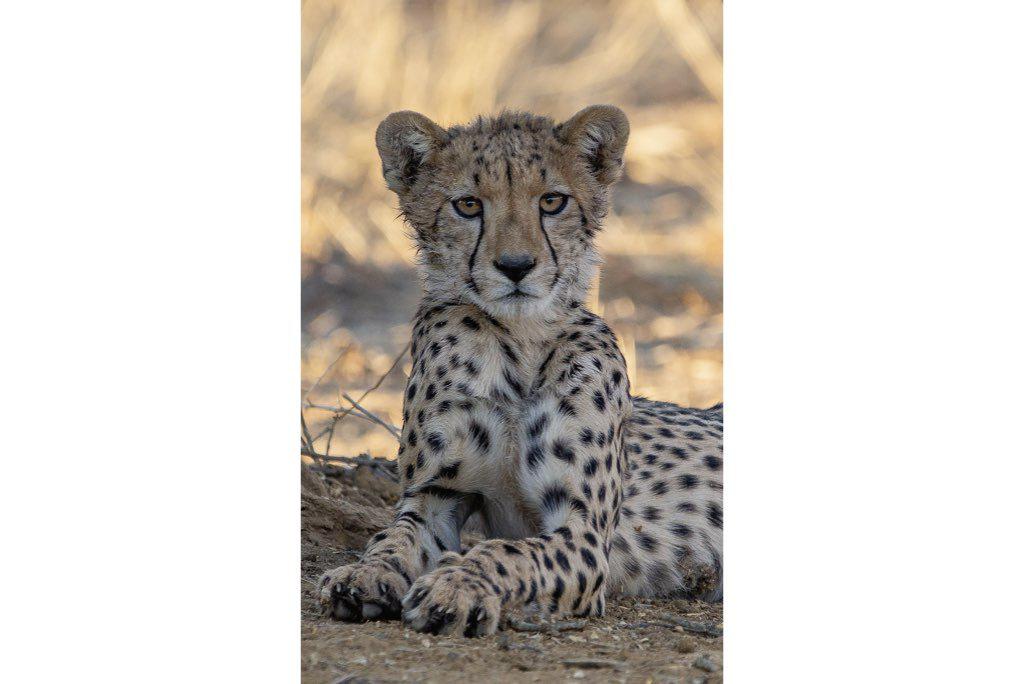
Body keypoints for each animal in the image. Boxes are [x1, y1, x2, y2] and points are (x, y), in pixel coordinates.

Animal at [318, 105, 723, 637]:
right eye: (468, 205)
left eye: (552, 201)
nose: (515, 266)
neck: (518, 345)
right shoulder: (436, 495)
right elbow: (393, 537)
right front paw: (364, 574)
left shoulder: (583, 532)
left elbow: (508, 552)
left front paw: (457, 586)